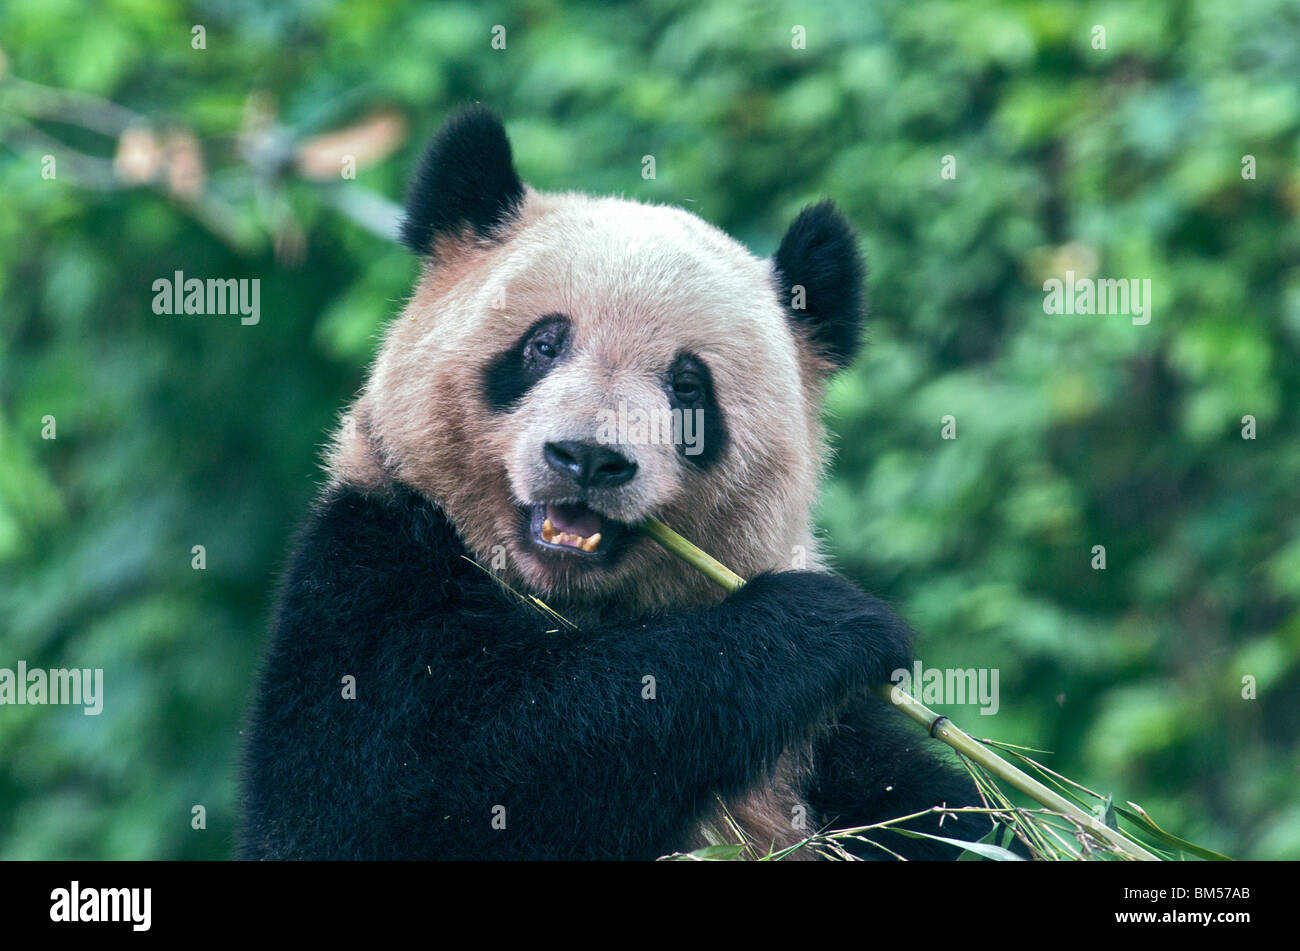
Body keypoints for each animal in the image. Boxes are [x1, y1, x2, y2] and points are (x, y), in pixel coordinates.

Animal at [239, 105, 987, 862]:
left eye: (688, 386)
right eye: (543, 345)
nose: (589, 458)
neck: (571, 601)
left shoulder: (833, 750)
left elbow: (942, 814)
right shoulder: (374, 572)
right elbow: (418, 792)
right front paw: (826, 621)